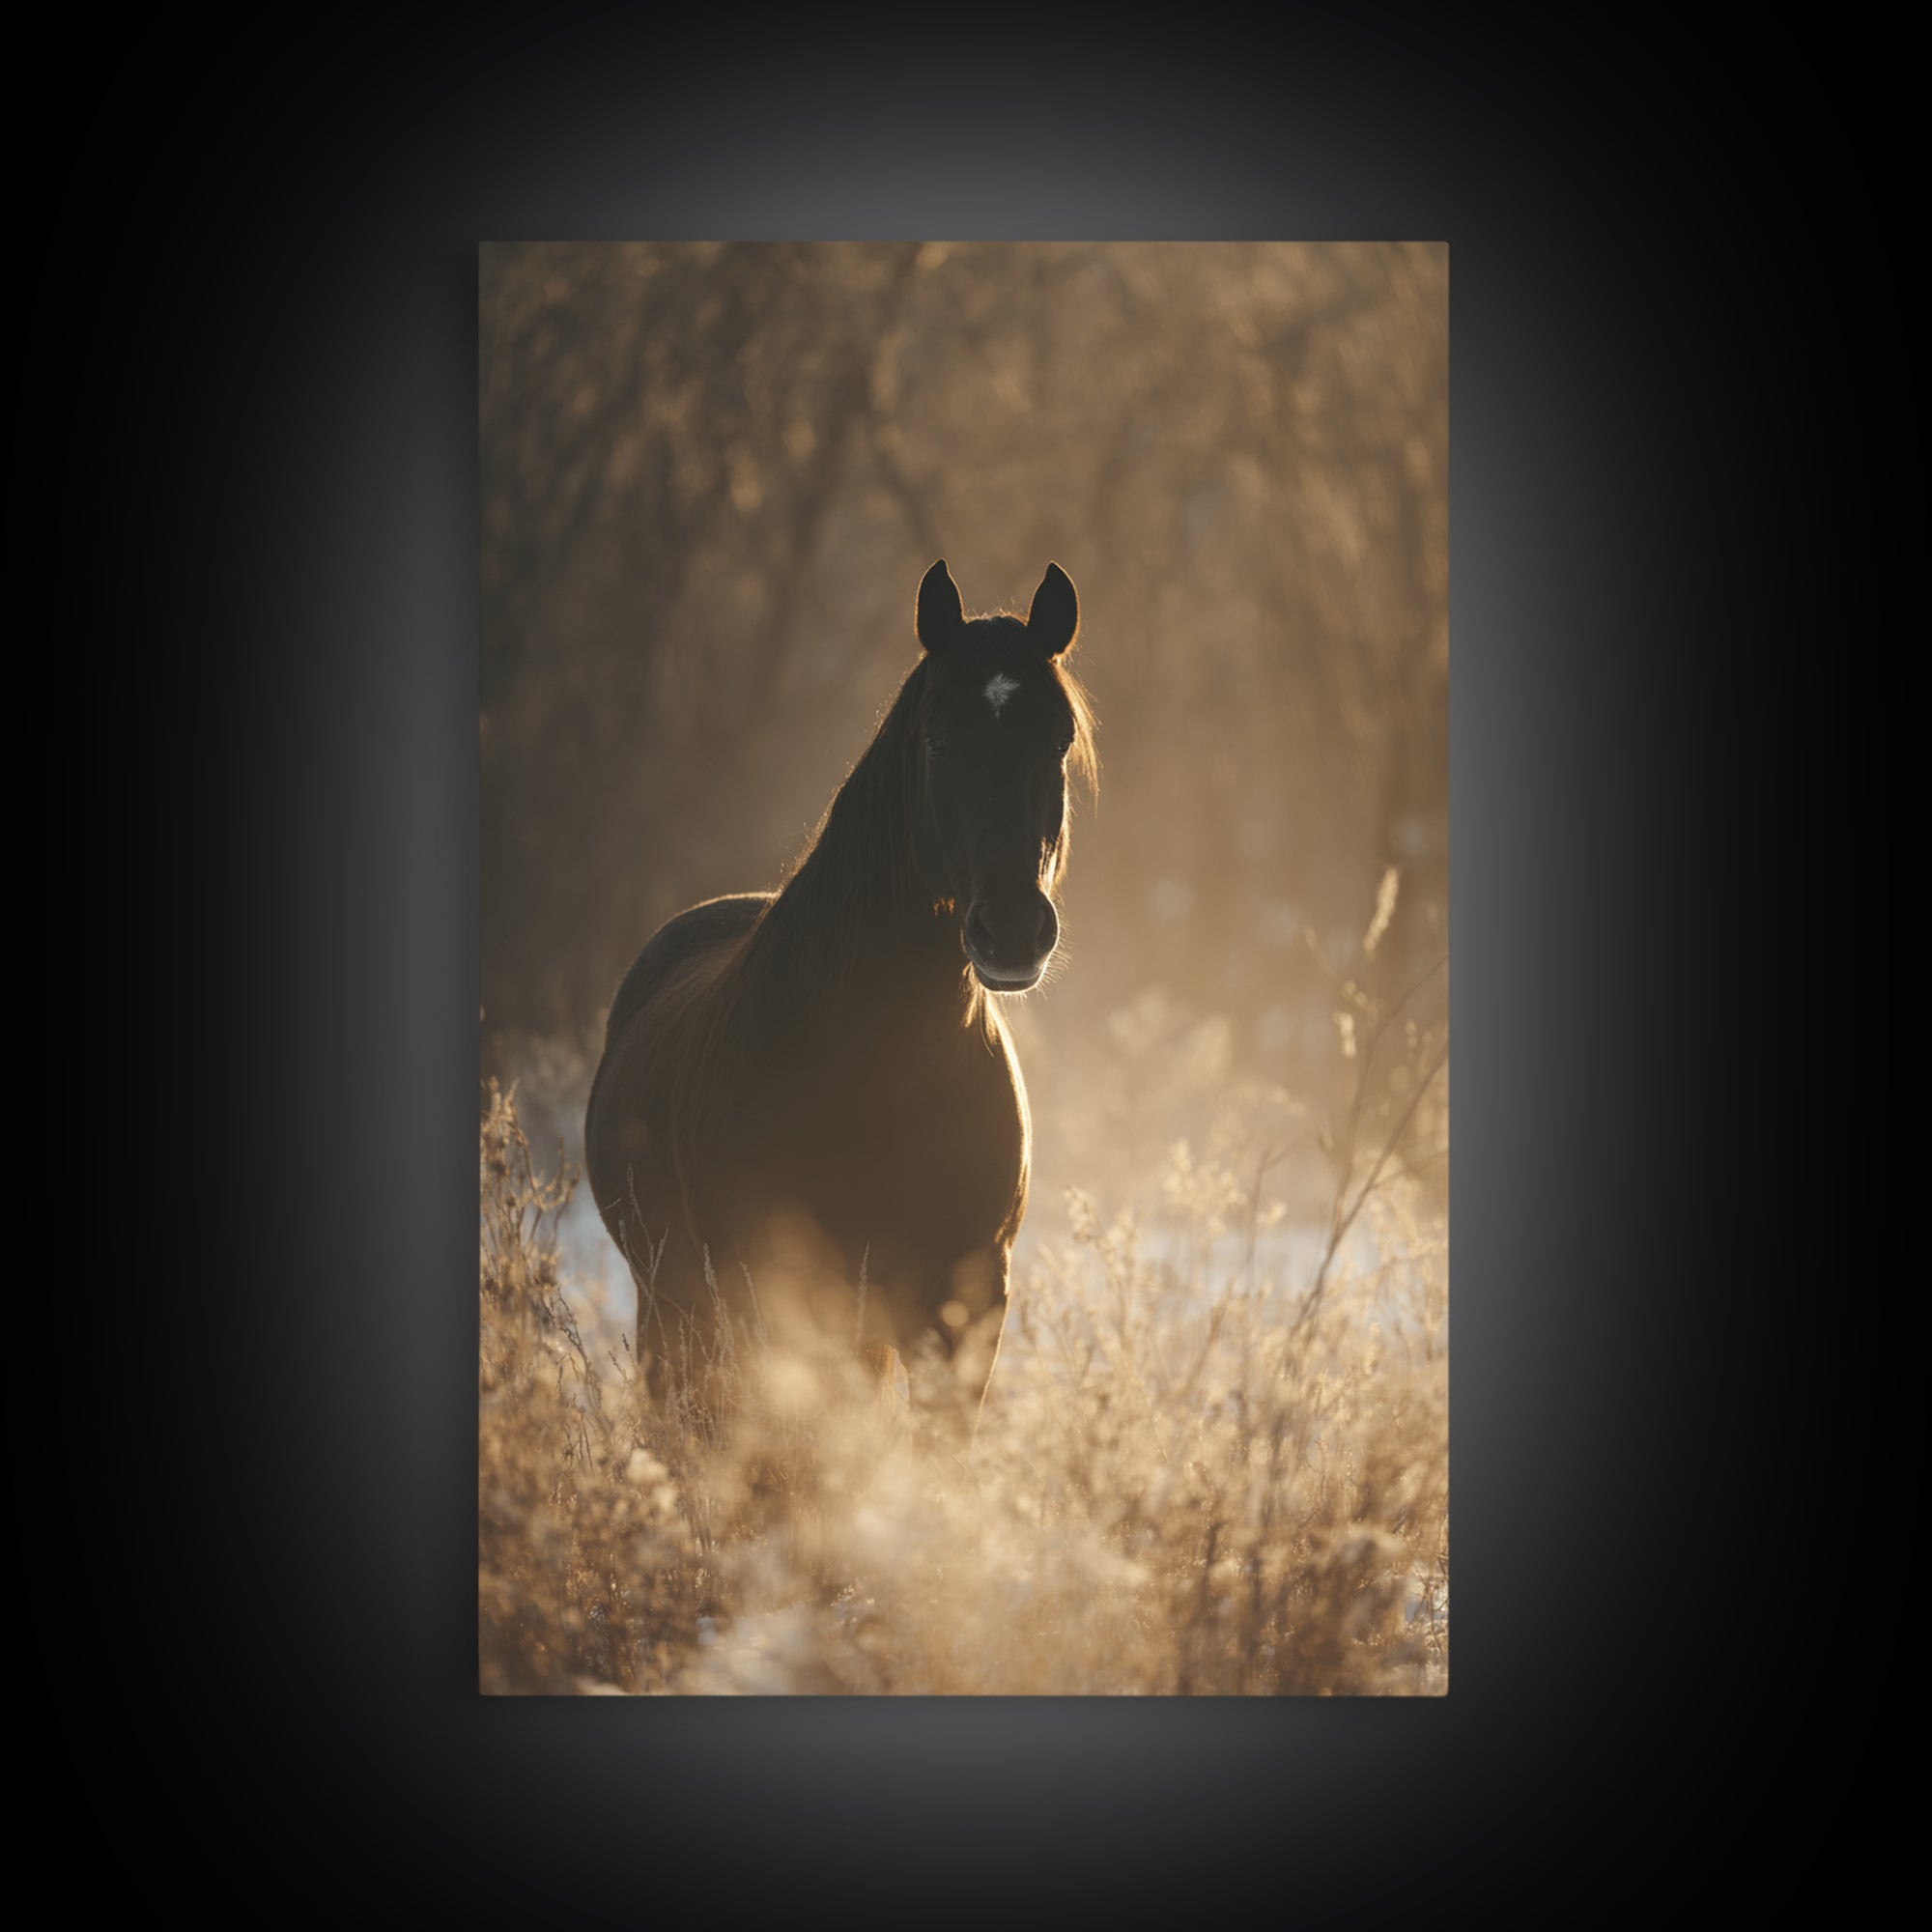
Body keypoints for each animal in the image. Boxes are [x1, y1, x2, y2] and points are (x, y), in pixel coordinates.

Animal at [584, 559, 1097, 1441]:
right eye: (936, 737)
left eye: (1058, 737)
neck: (875, 1068)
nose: (1012, 933)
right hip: (674, 1308)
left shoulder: (963, 1310)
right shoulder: (776, 1304)